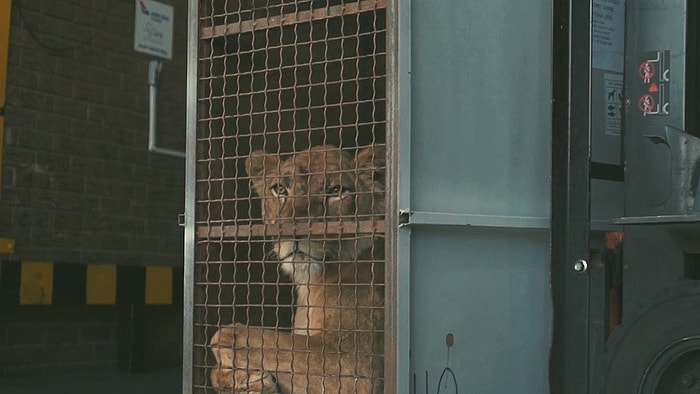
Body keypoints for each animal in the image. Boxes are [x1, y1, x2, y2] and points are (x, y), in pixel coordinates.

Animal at [211, 145, 386, 394]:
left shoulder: (355, 366)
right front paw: (244, 381)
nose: (293, 231)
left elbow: (228, 337)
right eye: (280, 190)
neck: (311, 282)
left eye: (336, 190)